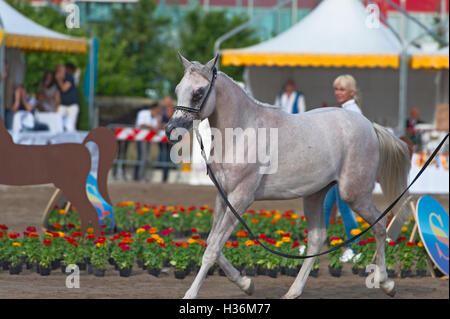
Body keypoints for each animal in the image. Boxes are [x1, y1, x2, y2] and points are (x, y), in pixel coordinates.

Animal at [165, 55, 412, 300]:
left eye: (198, 92)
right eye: (177, 89)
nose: (171, 130)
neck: (242, 133)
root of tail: (369, 125)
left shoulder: (240, 198)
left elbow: (213, 248)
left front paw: (190, 294)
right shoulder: (223, 196)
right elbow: (212, 242)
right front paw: (246, 283)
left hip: (354, 194)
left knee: (380, 226)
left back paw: (386, 283)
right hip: (315, 195)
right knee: (317, 239)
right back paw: (293, 291)